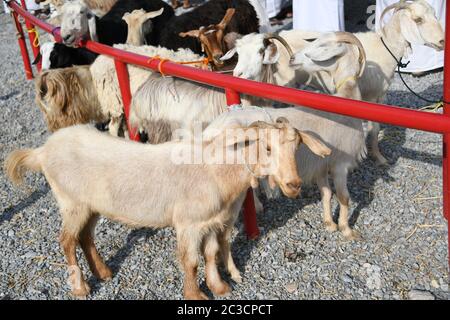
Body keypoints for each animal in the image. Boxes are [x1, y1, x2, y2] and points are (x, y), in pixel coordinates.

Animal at [4, 120, 330, 300]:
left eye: (297, 148)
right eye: (267, 148)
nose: (293, 184)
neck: (217, 169)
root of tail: (42, 151)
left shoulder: (210, 221)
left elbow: (211, 254)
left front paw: (219, 287)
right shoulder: (188, 223)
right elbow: (191, 261)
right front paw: (196, 294)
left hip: (90, 205)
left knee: (85, 237)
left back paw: (105, 272)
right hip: (71, 201)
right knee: (67, 241)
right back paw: (81, 288)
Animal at [221, 0, 442, 165]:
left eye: (435, 15)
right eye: (418, 19)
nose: (441, 42)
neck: (384, 46)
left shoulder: (378, 96)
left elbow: (375, 128)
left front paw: (377, 155)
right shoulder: (369, 96)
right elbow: (372, 129)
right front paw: (378, 157)